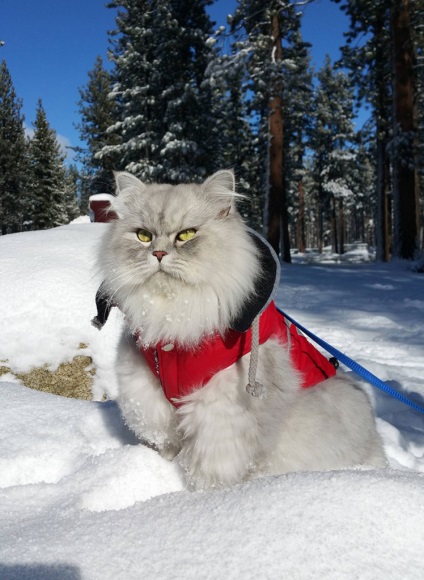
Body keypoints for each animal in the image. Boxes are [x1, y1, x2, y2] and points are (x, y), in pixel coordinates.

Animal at [94, 169, 386, 490]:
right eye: (143, 236)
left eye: (187, 235)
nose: (158, 253)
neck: (175, 318)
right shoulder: (145, 386)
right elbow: (161, 431)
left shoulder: (222, 408)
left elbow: (212, 463)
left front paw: (205, 493)